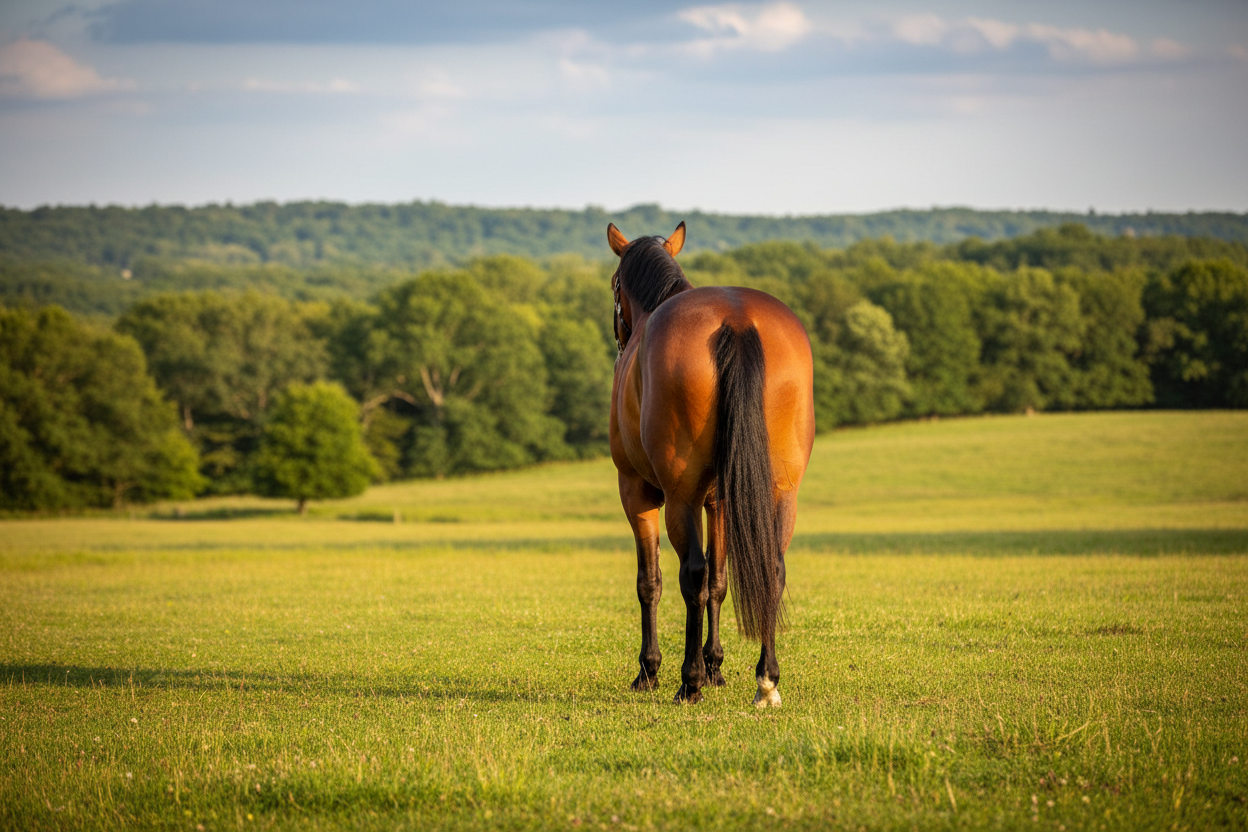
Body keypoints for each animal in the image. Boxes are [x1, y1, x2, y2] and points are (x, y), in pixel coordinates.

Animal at [607, 221, 815, 707]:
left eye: (614, 286)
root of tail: (735, 319)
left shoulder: (637, 492)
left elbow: (652, 582)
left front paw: (651, 670)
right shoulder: (719, 499)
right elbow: (720, 582)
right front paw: (717, 666)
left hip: (680, 495)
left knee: (692, 574)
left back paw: (689, 681)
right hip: (781, 490)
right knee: (771, 568)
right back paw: (766, 680)